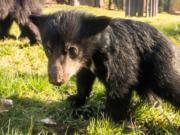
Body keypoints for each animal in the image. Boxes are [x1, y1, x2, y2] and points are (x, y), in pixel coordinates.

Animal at [29, 10, 180, 122]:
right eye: (48, 49)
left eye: (72, 50)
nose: (56, 80)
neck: (92, 54)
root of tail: (171, 43)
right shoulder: (84, 66)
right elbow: (83, 80)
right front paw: (75, 100)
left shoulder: (119, 56)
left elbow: (121, 82)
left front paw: (109, 118)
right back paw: (152, 105)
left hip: (160, 63)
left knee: (170, 83)